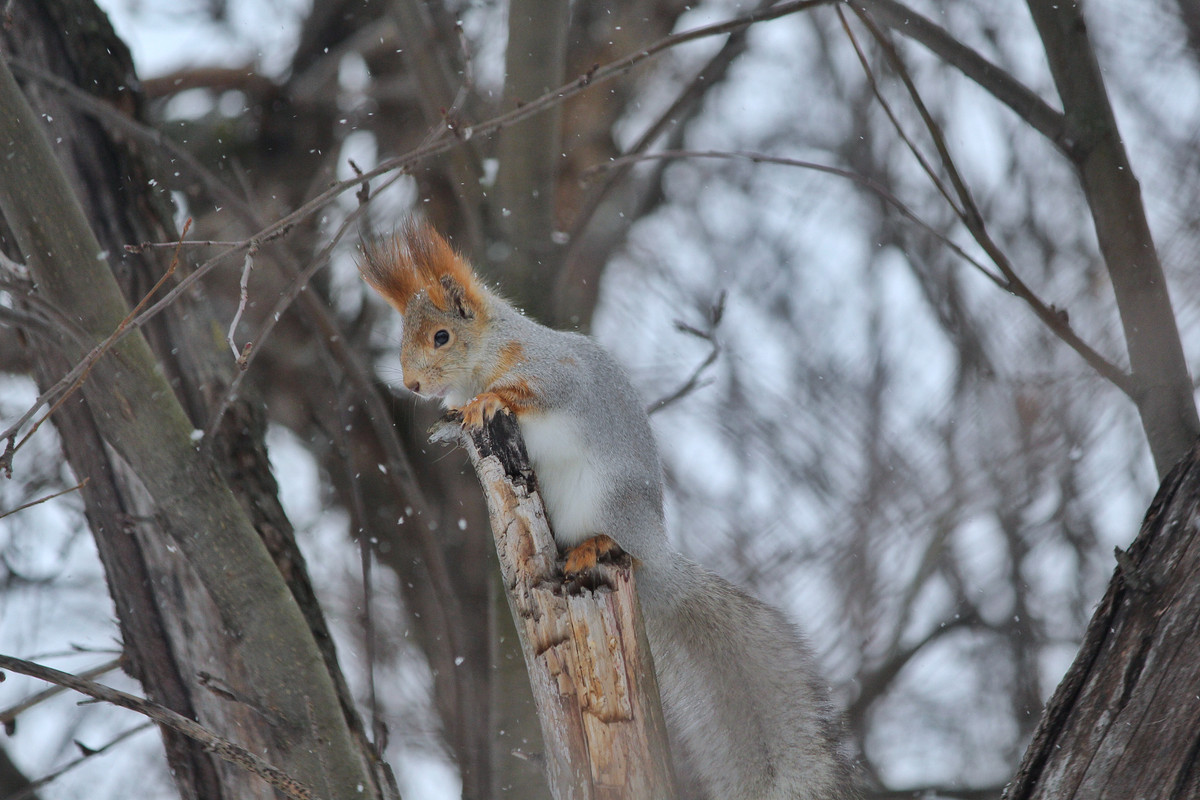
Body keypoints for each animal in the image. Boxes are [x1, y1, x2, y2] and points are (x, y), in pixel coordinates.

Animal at [360, 219, 859, 800]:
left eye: (441, 337)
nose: (412, 385)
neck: (488, 354)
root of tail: (657, 550)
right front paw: (450, 422)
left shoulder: (554, 373)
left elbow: (532, 393)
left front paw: (488, 401)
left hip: (611, 500)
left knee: (623, 548)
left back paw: (597, 546)